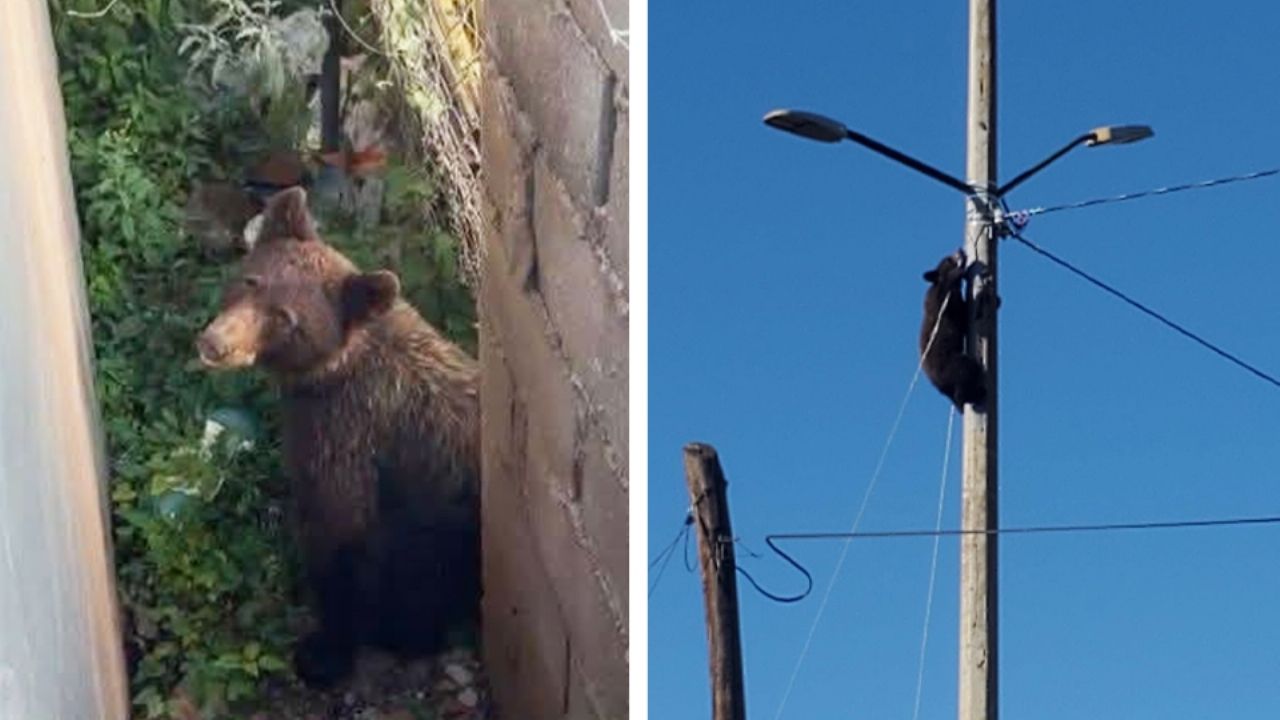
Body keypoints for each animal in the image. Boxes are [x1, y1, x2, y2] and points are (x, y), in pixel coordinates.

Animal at [195, 187, 481, 688]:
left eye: (285, 318)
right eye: (250, 281)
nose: (216, 344)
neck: (328, 375)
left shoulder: (346, 443)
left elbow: (339, 541)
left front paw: (323, 653)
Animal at [920, 249, 986, 411]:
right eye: (947, 260)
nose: (959, 250)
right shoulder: (941, 303)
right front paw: (960, 269)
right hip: (953, 366)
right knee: (966, 371)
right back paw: (977, 393)